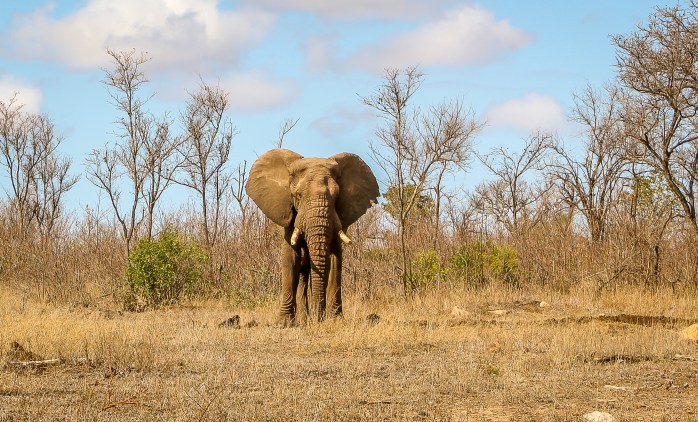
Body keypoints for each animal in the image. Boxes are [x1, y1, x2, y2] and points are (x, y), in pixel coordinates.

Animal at [246, 148, 379, 325]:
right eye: (298, 195)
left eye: (337, 196)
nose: (319, 317)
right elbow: (290, 258)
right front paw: (284, 323)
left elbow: (335, 260)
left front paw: (335, 320)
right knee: (303, 266)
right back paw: (304, 319)